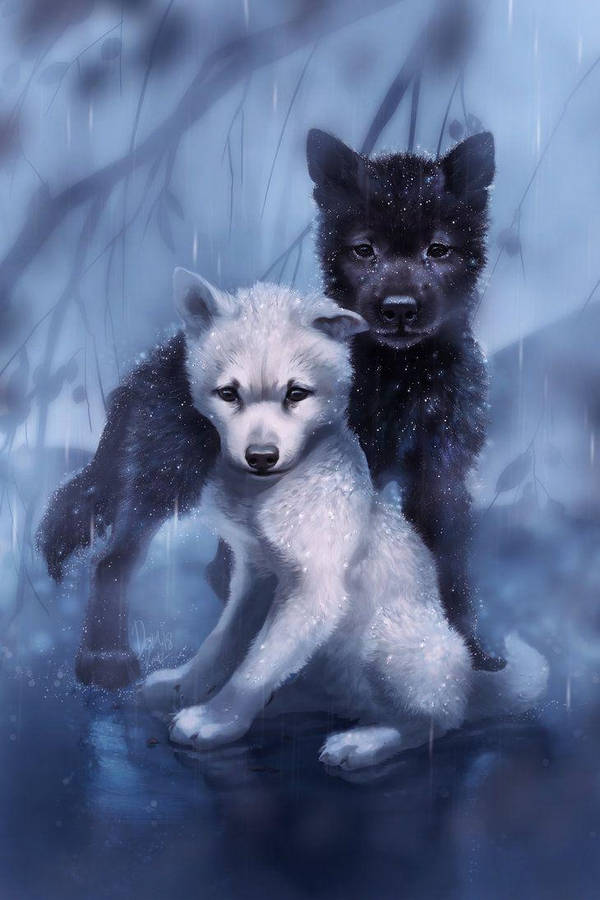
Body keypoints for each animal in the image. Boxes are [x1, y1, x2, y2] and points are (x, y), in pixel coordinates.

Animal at [141, 273, 547, 771]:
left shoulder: (313, 590)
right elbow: (225, 644)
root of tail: (471, 681)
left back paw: (364, 742)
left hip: (387, 642)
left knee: (433, 721)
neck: (266, 496)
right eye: (228, 393)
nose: (261, 457)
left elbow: (256, 665)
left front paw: (216, 721)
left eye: (296, 393)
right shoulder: (254, 576)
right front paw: (184, 685)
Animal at [305, 128, 502, 671]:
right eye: (364, 250)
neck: (401, 378)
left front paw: (467, 649)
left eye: (438, 249)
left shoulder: (440, 477)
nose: (398, 309)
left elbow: (449, 568)